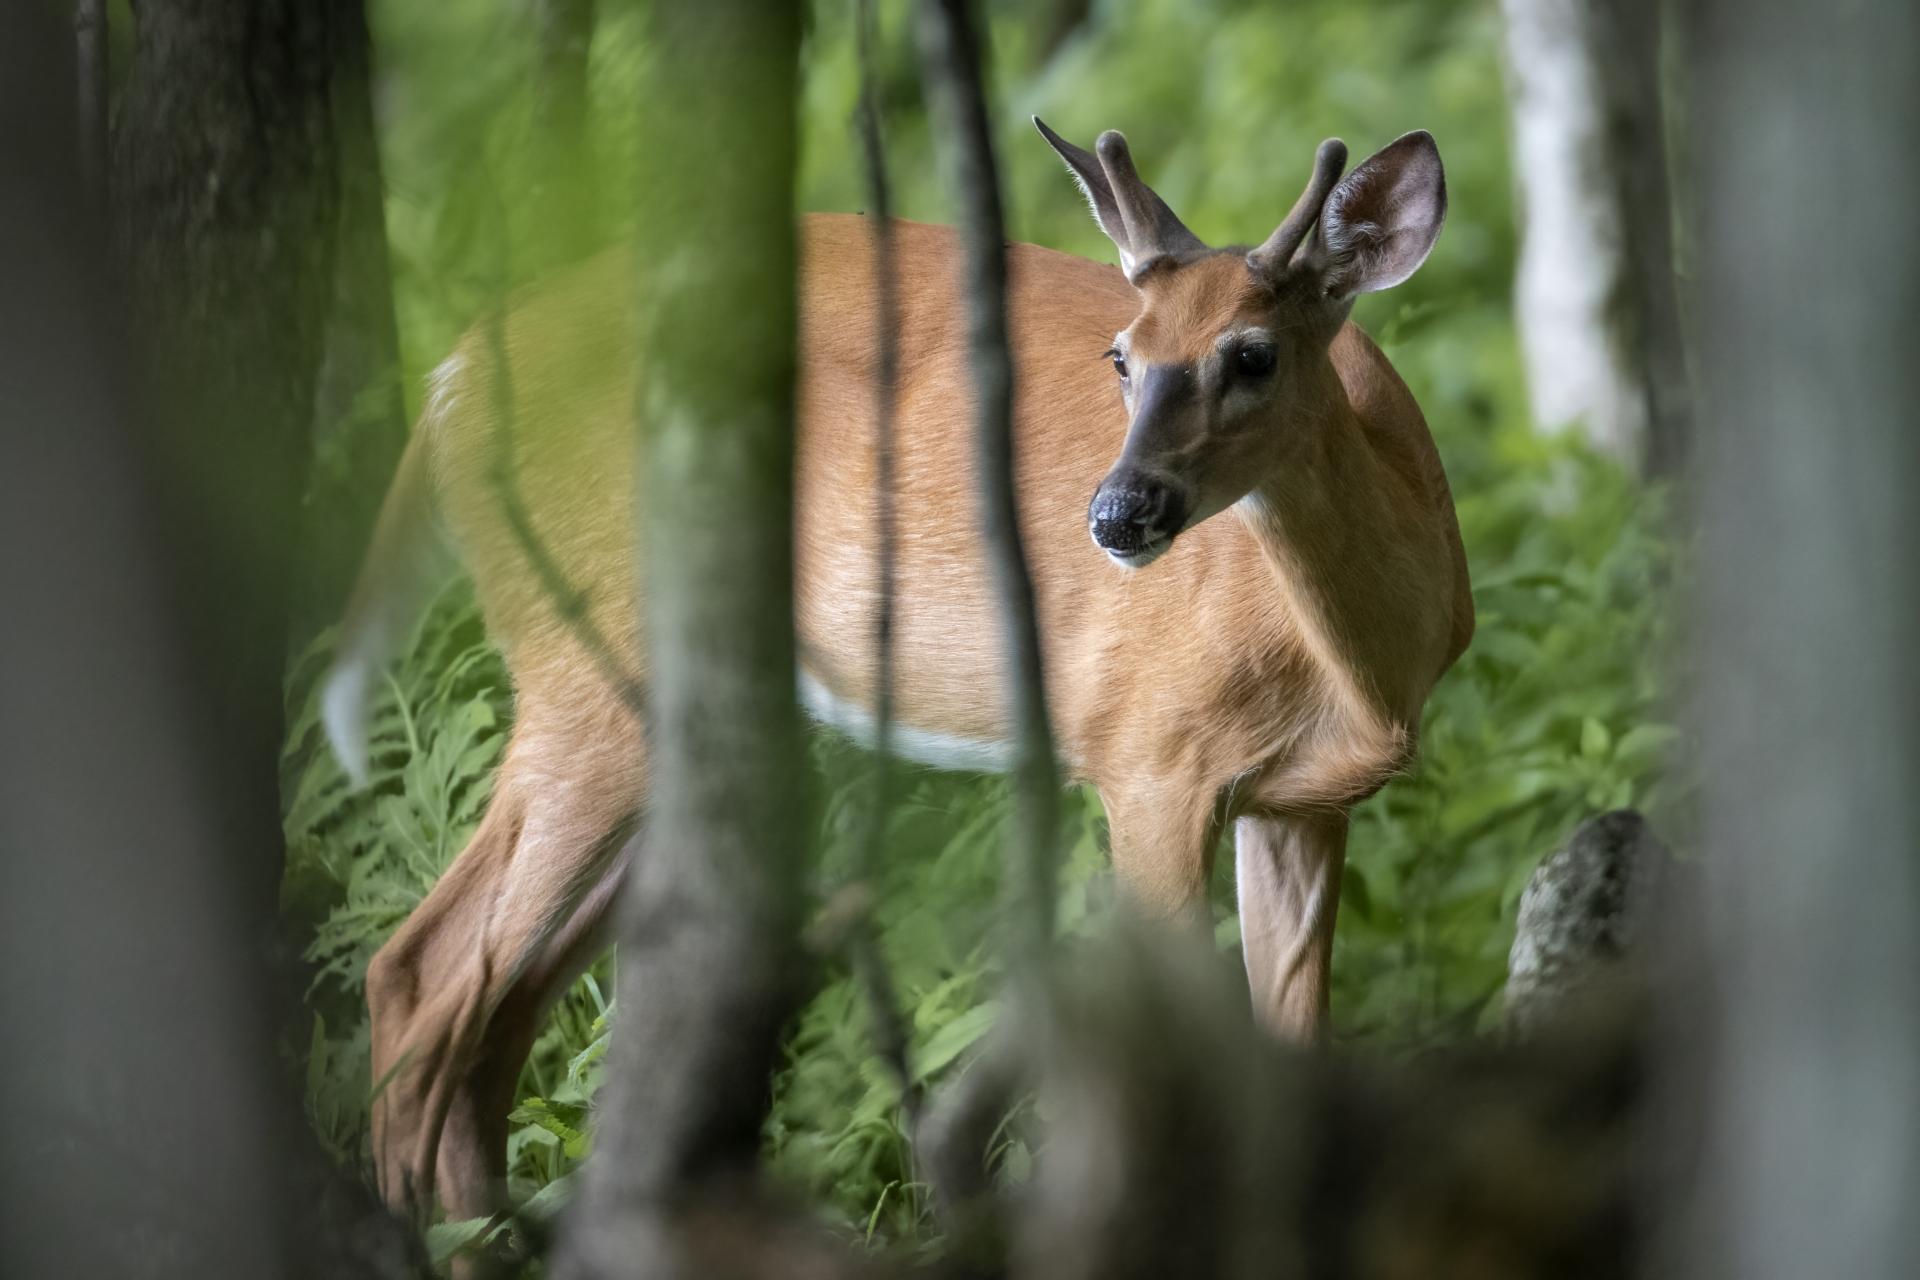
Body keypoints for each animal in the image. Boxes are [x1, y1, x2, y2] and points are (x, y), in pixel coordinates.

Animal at [321, 122, 1473, 1225]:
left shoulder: (1301, 803)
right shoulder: (1151, 760)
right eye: (1122, 356)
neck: (1364, 671)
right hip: (588, 663)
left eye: (1254, 354)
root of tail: (452, 377)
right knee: (418, 970)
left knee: (496, 1017)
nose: (1117, 512)